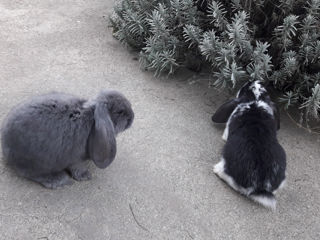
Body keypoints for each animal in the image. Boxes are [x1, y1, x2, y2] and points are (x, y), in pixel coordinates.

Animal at [0, 90, 134, 189]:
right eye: (120, 112)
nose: (132, 117)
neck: (91, 117)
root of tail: (5, 145)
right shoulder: (75, 159)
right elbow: (77, 168)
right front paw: (86, 176)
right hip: (36, 163)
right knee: (30, 174)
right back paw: (59, 179)